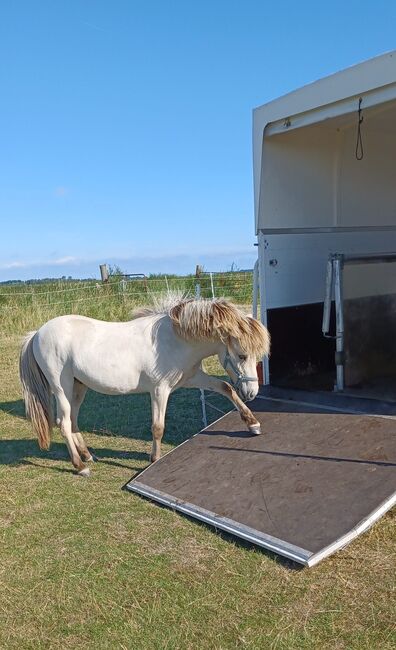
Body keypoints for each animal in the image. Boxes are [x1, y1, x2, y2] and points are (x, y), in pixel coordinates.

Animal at [20, 296, 270, 474]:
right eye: (241, 355)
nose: (252, 392)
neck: (175, 340)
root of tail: (37, 333)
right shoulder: (160, 390)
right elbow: (158, 427)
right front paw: (154, 460)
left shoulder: (193, 378)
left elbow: (226, 388)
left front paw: (253, 424)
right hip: (61, 388)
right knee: (63, 423)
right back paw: (80, 466)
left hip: (78, 387)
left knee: (72, 420)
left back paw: (87, 455)